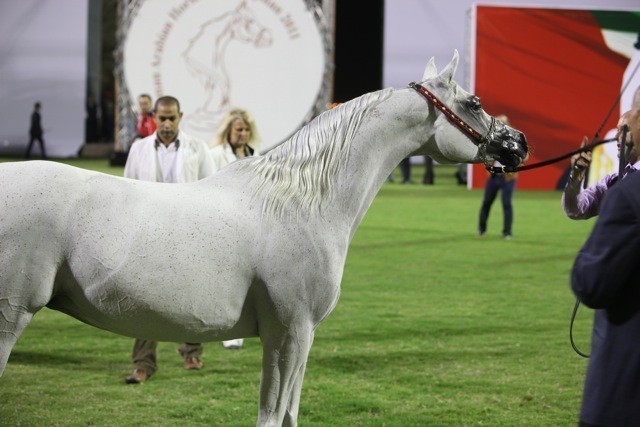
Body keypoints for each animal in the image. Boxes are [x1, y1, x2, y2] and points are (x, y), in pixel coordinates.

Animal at [0, 51, 527, 426]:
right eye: (474, 103)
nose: (519, 144)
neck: (302, 203)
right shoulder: (287, 332)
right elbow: (272, 417)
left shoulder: (302, 337)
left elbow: (289, 414)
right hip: (11, 317)